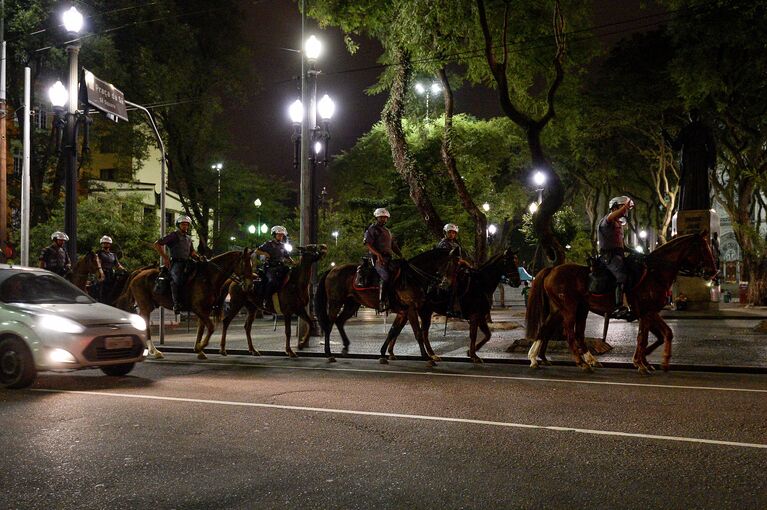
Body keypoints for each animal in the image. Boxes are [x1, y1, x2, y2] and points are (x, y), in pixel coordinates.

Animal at [115, 249, 252, 360]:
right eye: (245, 264)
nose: (249, 285)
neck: (208, 277)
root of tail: (139, 272)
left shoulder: (205, 310)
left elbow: (201, 329)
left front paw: (199, 350)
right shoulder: (198, 309)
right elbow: (211, 327)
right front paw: (200, 347)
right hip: (145, 306)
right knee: (146, 326)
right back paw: (155, 351)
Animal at [316, 248, 460, 364]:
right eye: (452, 264)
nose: (447, 286)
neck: (412, 277)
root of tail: (332, 269)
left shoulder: (403, 312)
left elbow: (393, 331)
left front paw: (383, 353)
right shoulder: (411, 310)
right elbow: (417, 333)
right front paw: (426, 357)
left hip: (351, 305)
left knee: (339, 322)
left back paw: (345, 347)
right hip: (335, 303)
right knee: (329, 325)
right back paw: (328, 354)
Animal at [384, 246, 520, 362]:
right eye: (509, 263)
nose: (517, 282)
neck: (480, 284)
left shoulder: (481, 316)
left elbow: (488, 335)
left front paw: (471, 352)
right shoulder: (475, 316)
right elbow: (474, 335)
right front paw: (474, 355)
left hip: (418, 312)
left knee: (409, 330)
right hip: (422, 312)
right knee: (420, 332)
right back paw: (428, 354)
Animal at [528, 233, 720, 372]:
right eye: (703, 248)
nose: (713, 271)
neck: (655, 273)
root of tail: (552, 269)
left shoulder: (649, 313)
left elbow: (663, 334)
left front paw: (648, 361)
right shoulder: (646, 312)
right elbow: (644, 337)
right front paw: (641, 362)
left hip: (568, 309)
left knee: (549, 329)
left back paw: (538, 358)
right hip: (569, 309)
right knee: (568, 334)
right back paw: (580, 363)